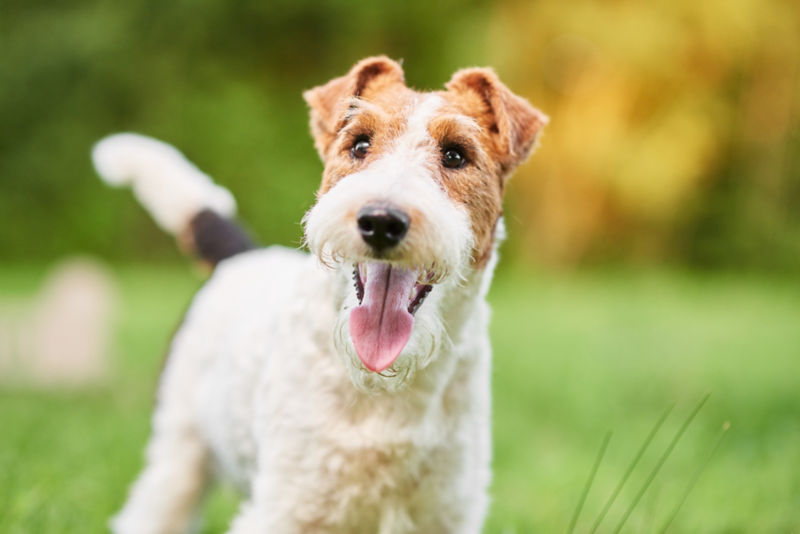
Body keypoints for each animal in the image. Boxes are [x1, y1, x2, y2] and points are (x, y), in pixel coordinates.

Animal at [92, 57, 544, 534]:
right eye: (360, 144)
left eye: (456, 154)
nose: (381, 221)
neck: (384, 386)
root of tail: (241, 256)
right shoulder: (287, 507)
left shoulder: (445, 512)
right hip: (179, 449)